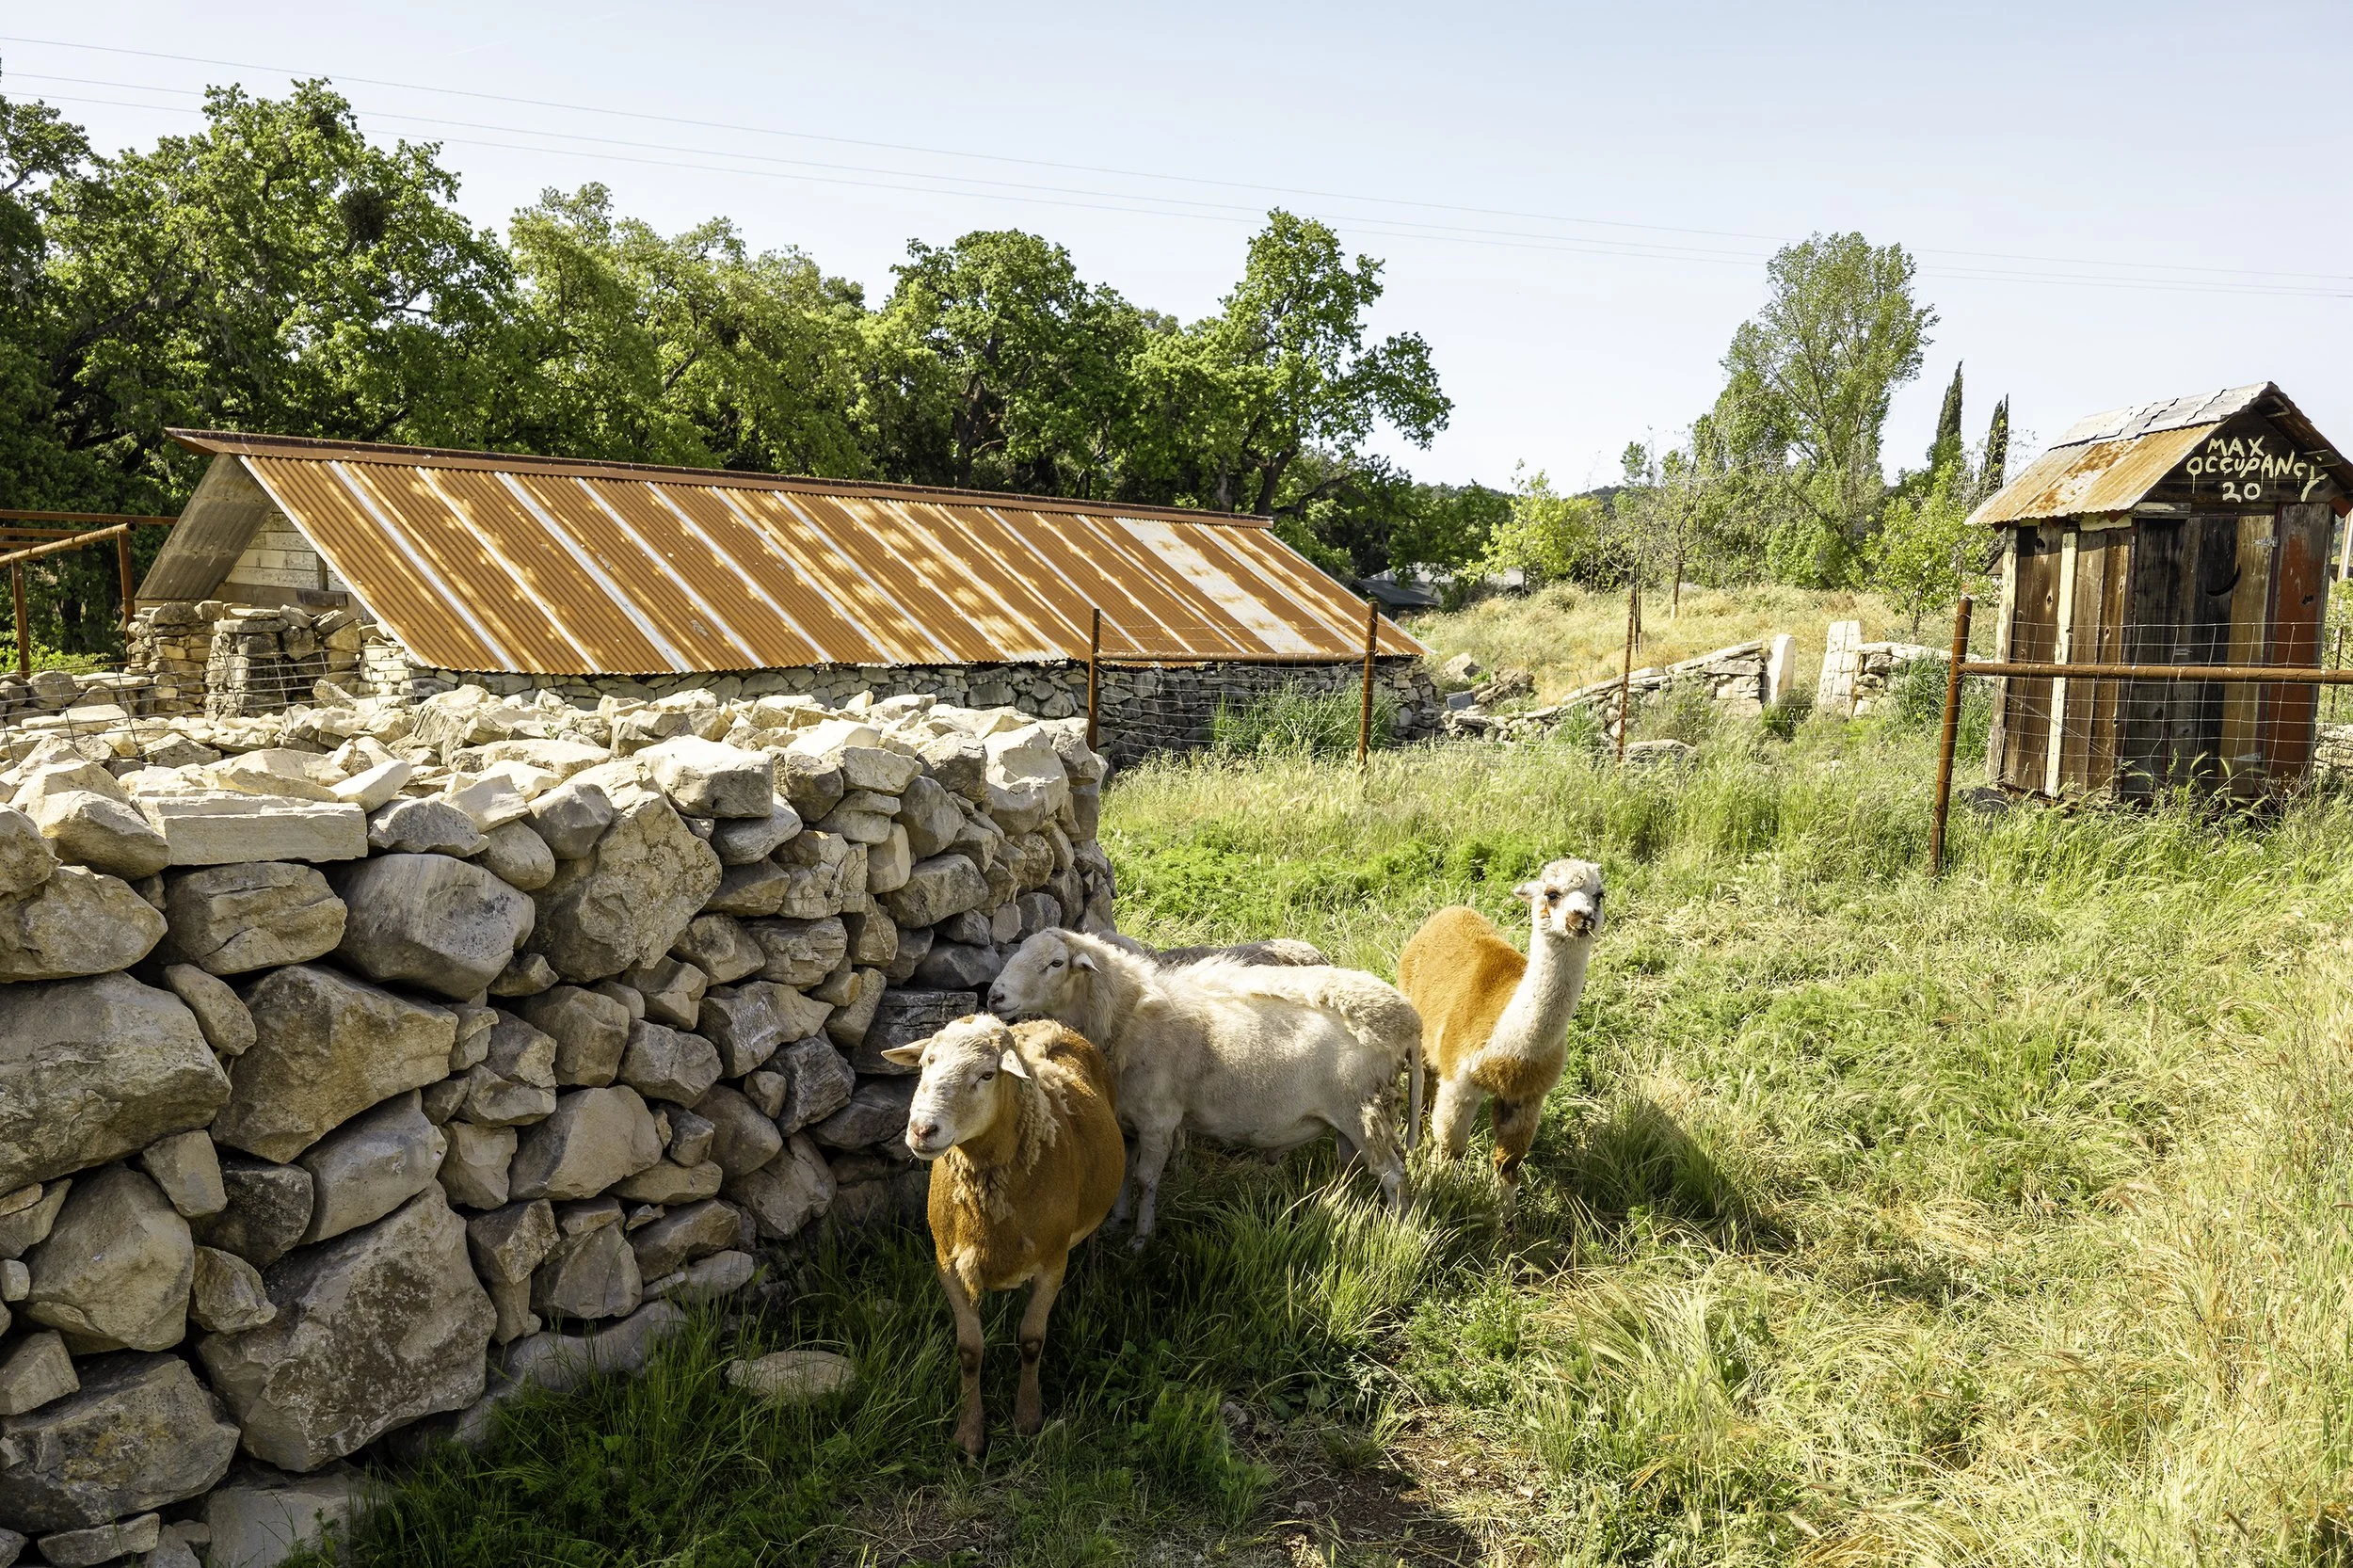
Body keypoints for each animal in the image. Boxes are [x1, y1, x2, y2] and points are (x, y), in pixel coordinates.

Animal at [881, 1013, 1125, 1459]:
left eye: (987, 1074)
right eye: (925, 1064)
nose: (922, 1130)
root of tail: (1052, 1021)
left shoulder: (1052, 1263)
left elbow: (1031, 1341)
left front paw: (1028, 1418)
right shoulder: (948, 1264)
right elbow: (969, 1350)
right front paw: (969, 1435)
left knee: (1094, 1237)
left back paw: (1094, 1282)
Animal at [987, 929, 1422, 1241]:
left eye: (1056, 963)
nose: (994, 996)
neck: (1127, 1017)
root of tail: (1405, 1021)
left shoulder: (1159, 1120)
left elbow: (1145, 1180)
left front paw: (1140, 1238)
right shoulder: (1126, 1119)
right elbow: (1124, 1174)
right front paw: (1116, 1223)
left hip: (1362, 1110)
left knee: (1393, 1175)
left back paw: (1397, 1232)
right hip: (1355, 1117)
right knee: (1363, 1167)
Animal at [1397, 857, 1604, 1217]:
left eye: (1599, 895)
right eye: (1552, 894)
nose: (1583, 917)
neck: (1510, 1052)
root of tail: (1452, 910)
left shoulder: (1527, 1097)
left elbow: (1507, 1164)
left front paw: (1508, 1225)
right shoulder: (1459, 1083)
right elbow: (1449, 1149)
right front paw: (1437, 1198)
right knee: (1422, 1087)